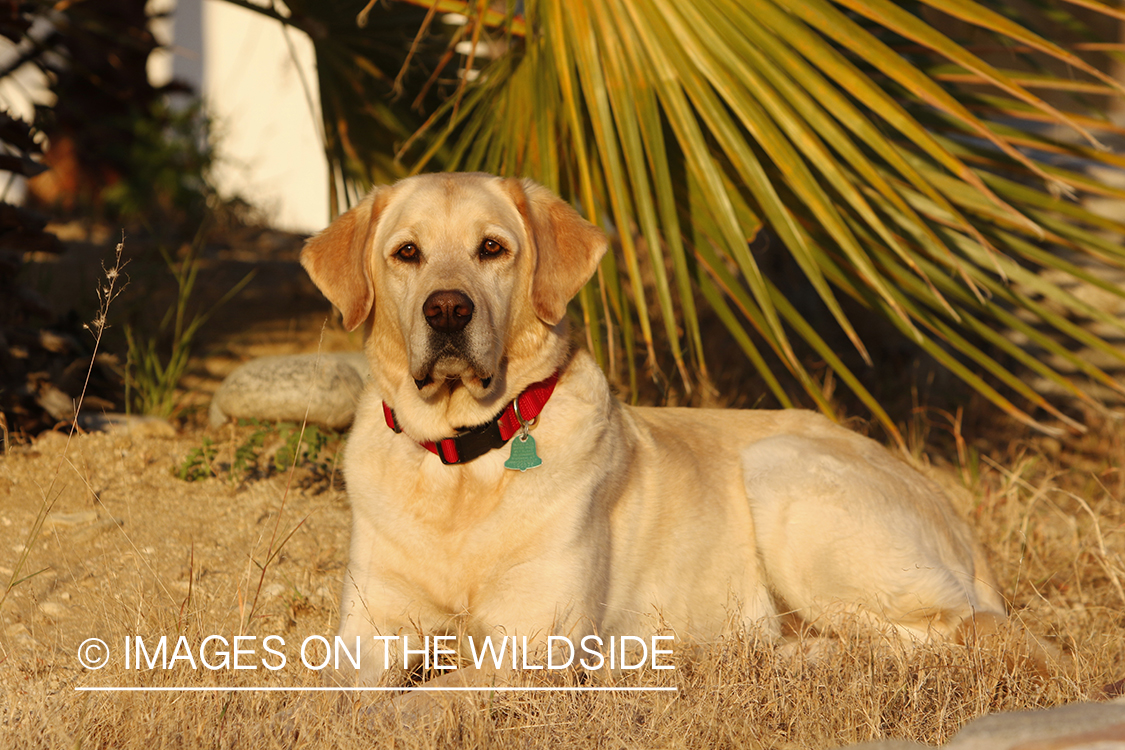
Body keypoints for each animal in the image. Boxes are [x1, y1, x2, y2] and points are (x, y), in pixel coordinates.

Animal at [303, 173, 1017, 688]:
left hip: (783, 474)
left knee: (960, 640)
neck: (460, 462)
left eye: (492, 249)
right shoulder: (370, 631)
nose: (448, 310)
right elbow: (331, 697)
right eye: (407, 253)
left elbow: (424, 700)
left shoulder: (531, 641)